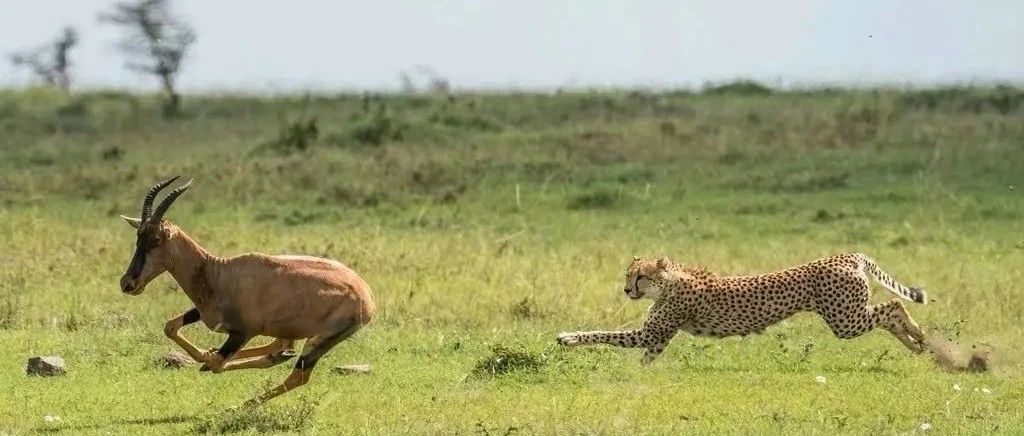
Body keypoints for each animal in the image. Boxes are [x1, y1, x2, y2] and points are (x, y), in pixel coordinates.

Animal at [118, 177, 376, 405]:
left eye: (156, 239)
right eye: (138, 236)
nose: (127, 283)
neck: (218, 271)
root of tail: (367, 297)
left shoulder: (243, 333)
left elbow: (217, 364)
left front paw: (207, 360)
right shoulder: (203, 313)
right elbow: (171, 327)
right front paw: (205, 355)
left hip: (321, 339)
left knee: (298, 375)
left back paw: (241, 404)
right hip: (291, 330)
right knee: (280, 347)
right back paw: (276, 356)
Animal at [557, 251, 933, 364]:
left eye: (640, 277)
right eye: (628, 275)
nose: (626, 290)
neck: (670, 282)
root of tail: (846, 255)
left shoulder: (652, 332)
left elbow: (603, 333)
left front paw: (568, 338)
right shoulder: (658, 338)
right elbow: (646, 359)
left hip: (845, 320)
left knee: (894, 306)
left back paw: (920, 337)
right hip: (849, 317)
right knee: (890, 312)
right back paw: (918, 344)